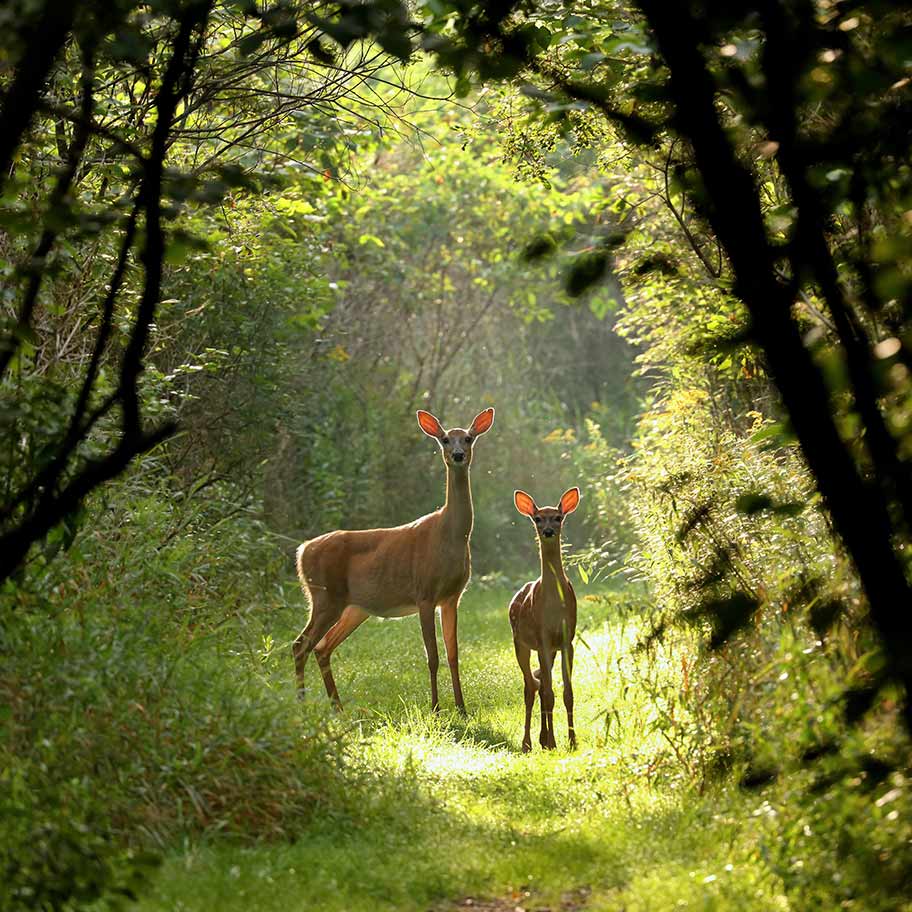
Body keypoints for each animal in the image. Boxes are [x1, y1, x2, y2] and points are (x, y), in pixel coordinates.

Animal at [290, 406, 492, 712]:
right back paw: (302, 706)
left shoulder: (452, 597)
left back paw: (337, 708)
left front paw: (461, 708)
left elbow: (453, 655)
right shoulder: (424, 593)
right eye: (445, 439)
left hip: (354, 608)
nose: (457, 455)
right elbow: (432, 656)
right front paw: (435, 708)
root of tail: (302, 551)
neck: (450, 536)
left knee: (322, 647)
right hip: (324, 596)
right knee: (300, 645)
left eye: (468, 438)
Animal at [510, 488, 580, 752]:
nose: (548, 531)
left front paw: (572, 741)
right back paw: (529, 743)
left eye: (558, 517)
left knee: (539, 684)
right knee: (531, 687)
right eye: (538, 518)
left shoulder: (566, 640)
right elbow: (550, 693)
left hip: (548, 649)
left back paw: (542, 739)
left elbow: (567, 694)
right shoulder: (542, 638)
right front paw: (553, 741)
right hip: (519, 642)